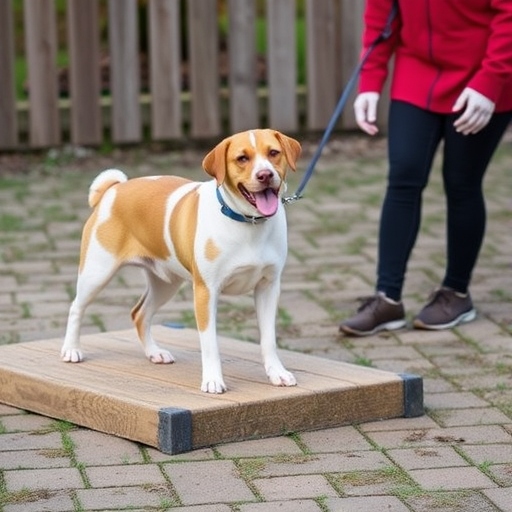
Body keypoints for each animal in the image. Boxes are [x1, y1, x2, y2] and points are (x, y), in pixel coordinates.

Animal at [60, 128, 302, 392]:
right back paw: (71, 349)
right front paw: (213, 380)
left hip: (165, 284)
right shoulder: (206, 292)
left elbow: (268, 340)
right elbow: (210, 343)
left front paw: (277, 373)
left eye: (273, 153)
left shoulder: (268, 287)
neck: (247, 223)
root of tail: (114, 190)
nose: (265, 174)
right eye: (242, 158)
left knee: (139, 314)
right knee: (76, 307)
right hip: (97, 273)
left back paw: (154, 352)